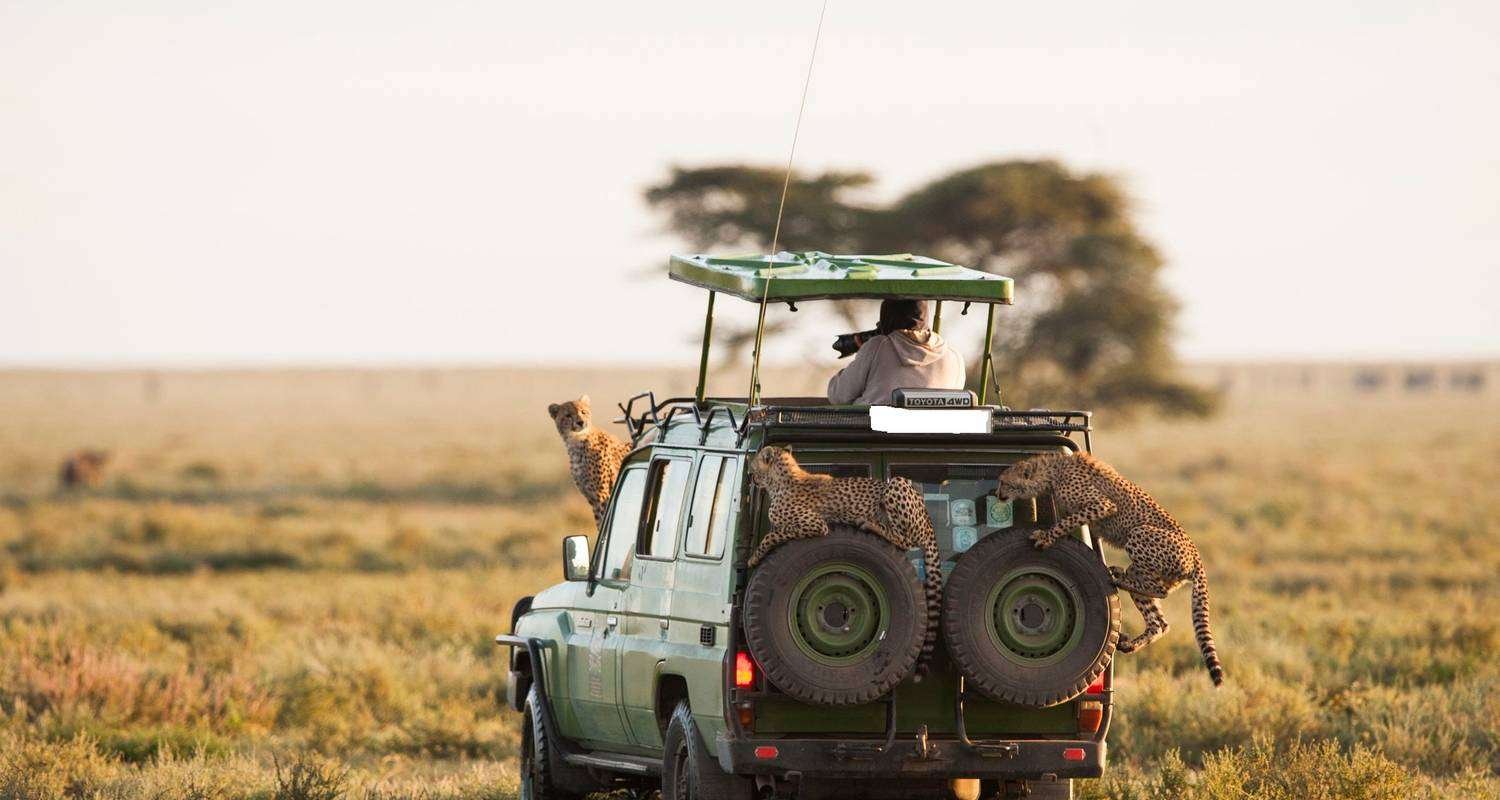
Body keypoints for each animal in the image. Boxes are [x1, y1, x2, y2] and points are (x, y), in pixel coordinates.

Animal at [552, 396, 633, 528]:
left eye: (584, 412)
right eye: (568, 415)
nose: (580, 422)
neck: (576, 442)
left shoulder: (603, 495)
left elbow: (604, 522)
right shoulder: (592, 498)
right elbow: (599, 522)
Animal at [747, 447, 942, 669]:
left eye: (754, 465)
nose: (750, 475)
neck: (782, 479)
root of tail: (928, 519)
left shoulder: (817, 525)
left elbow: (773, 534)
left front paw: (754, 557)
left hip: (897, 484)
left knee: (904, 540)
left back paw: (870, 524)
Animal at [996, 453, 1218, 684]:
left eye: (1004, 482)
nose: (998, 494)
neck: (1052, 473)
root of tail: (1196, 554)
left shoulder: (1103, 505)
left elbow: (1068, 521)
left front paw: (1046, 537)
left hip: (1139, 534)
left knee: (1159, 590)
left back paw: (1116, 576)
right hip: (1146, 576)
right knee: (1160, 622)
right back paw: (1130, 641)